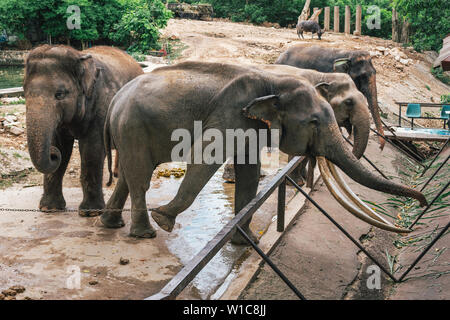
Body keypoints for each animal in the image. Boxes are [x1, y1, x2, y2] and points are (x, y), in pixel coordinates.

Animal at [23, 44, 143, 215]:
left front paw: (91, 212)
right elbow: (61, 146)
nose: (52, 154)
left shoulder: (102, 105)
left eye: (59, 94)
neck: (78, 56)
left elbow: (91, 149)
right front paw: (49, 208)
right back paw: (117, 174)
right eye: (24, 93)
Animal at [100, 61, 428, 244]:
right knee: (140, 177)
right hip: (133, 127)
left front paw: (243, 242)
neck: (276, 84)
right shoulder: (230, 113)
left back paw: (111, 224)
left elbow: (248, 172)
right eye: (314, 122)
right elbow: (205, 157)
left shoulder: (250, 123)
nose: (423, 202)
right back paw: (147, 232)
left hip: (131, 130)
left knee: (129, 175)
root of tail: (115, 98)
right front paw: (164, 219)